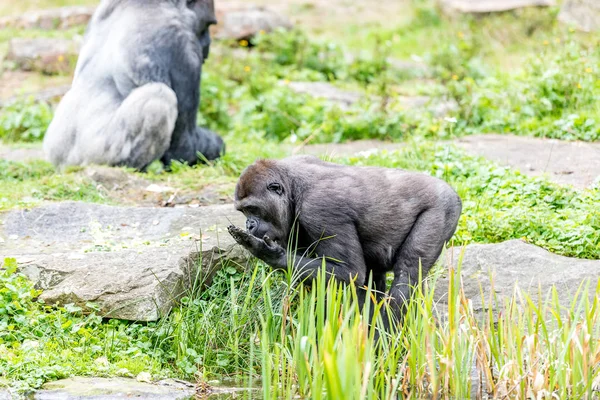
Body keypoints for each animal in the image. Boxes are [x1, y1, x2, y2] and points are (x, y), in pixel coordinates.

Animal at [42, 0, 225, 170]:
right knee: (158, 99)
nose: (207, 43)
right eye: (207, 25)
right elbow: (183, 146)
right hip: (93, 156)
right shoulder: (182, 45)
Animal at [227, 156, 462, 328]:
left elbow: (349, 272)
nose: (249, 224)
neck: (291, 185)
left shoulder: (319, 208)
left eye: (253, 209)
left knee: (407, 276)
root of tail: (452, 191)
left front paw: (269, 254)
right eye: (243, 211)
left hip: (443, 207)